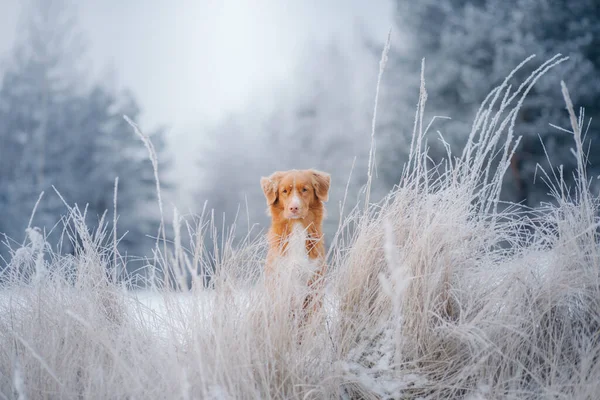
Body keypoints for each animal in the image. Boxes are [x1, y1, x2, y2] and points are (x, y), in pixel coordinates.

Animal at [260, 169, 330, 322]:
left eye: (305, 189)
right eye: (284, 191)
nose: (294, 208)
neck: (297, 228)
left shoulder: (314, 283)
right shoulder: (279, 282)